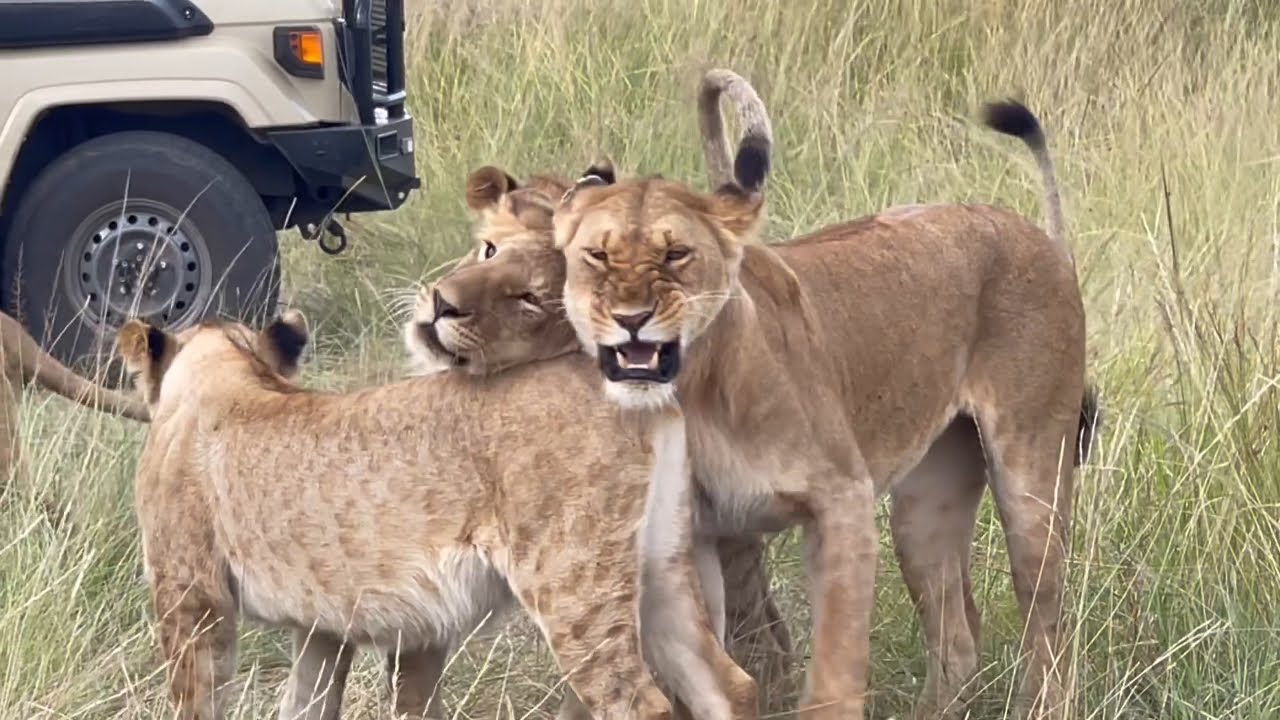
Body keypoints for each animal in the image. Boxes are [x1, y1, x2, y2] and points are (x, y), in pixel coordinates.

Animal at [115, 310, 758, 720]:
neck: (230, 368)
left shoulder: (189, 596)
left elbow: (196, 702)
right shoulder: (325, 624)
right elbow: (306, 703)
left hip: (572, 583)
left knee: (640, 704)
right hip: (661, 566)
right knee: (731, 687)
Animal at [404, 69, 1100, 719]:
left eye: (533, 292)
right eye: (487, 248)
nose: (440, 304)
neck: (687, 394)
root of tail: (1036, 234)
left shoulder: (841, 503)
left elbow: (830, 675)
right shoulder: (696, 543)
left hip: (1032, 478)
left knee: (1048, 626)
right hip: (923, 507)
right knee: (957, 637)